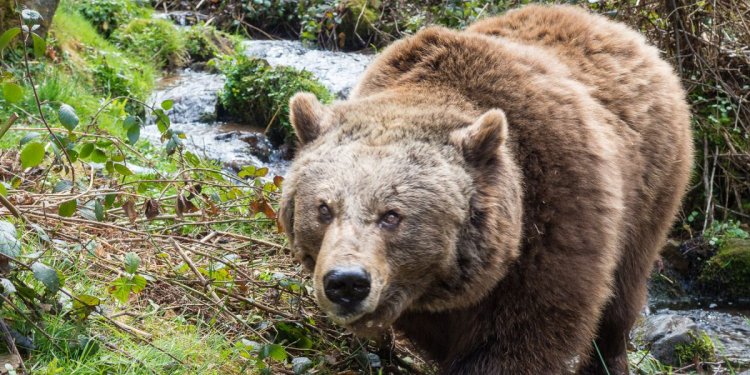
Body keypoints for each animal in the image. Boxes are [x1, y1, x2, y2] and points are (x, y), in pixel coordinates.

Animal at [280, 4, 696, 374]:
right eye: (323, 208)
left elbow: (525, 335)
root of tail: (620, 31)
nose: (346, 282)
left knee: (620, 300)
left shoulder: (554, 216)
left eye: (392, 215)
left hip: (651, 188)